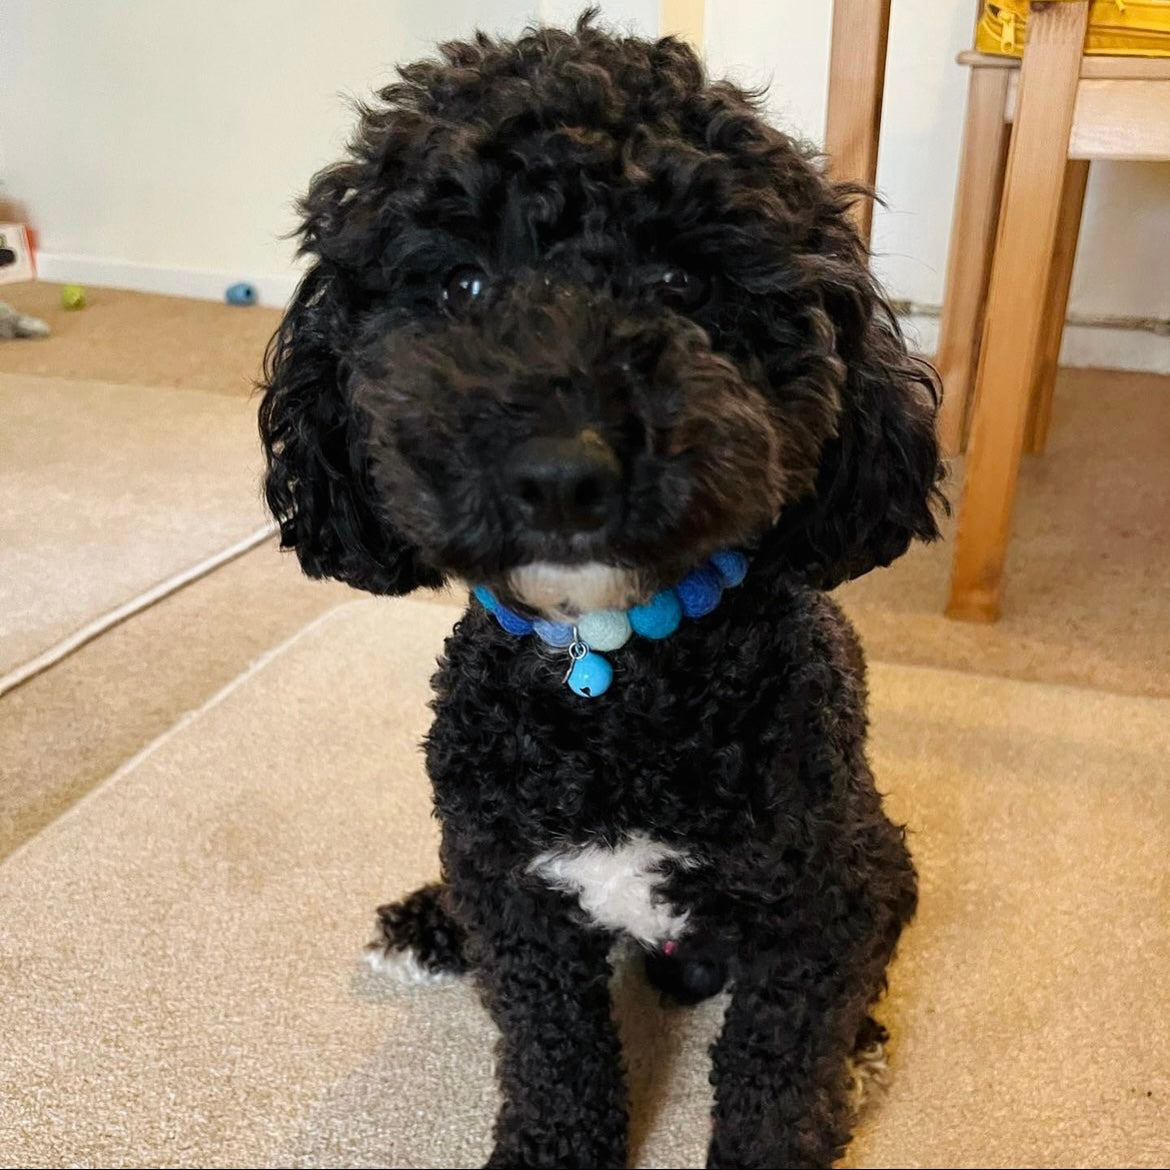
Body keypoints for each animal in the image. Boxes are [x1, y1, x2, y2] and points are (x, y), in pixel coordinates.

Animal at [260, 11, 945, 1170]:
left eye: (682, 282)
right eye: (461, 285)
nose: (560, 473)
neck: (614, 675)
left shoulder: (816, 909)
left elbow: (778, 1076)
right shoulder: (519, 900)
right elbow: (553, 1053)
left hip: (878, 857)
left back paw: (861, 1049)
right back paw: (429, 924)